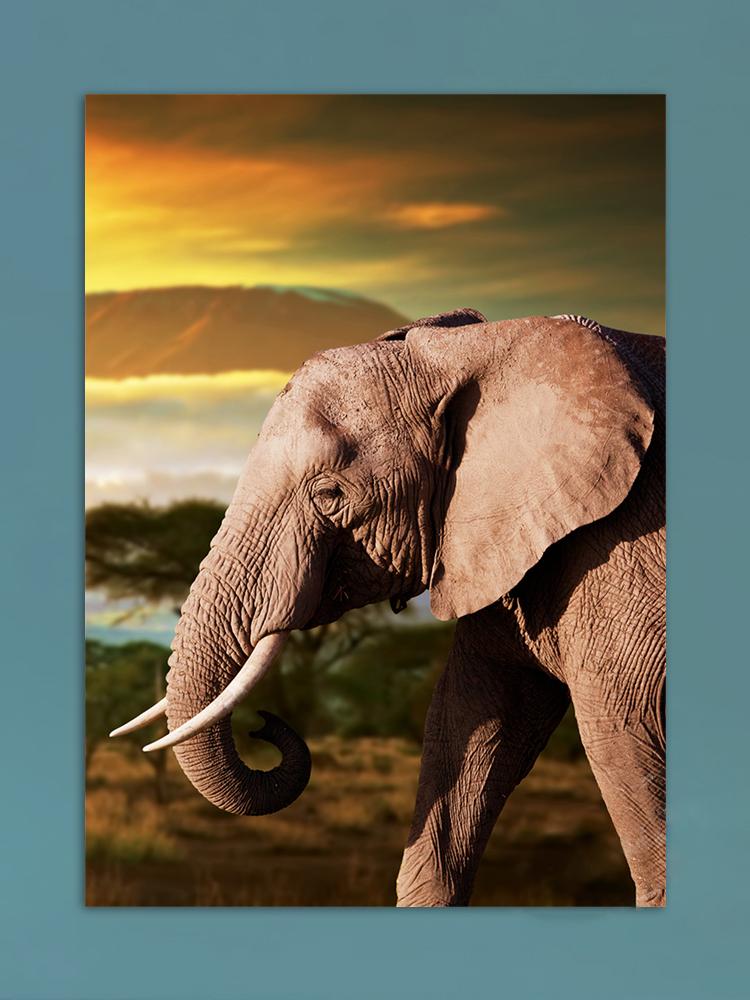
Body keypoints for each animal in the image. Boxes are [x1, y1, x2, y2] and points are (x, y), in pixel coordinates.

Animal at [112, 309, 665, 907]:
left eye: (329, 494)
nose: (263, 726)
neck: (473, 350)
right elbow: (470, 725)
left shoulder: (623, 544)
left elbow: (623, 731)